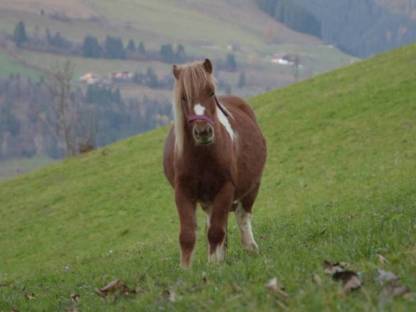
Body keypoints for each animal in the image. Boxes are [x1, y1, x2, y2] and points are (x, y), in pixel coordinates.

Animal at [162, 59, 266, 268]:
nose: (203, 132)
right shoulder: (183, 192)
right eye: (183, 97)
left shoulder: (225, 189)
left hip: (252, 187)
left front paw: (214, 266)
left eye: (210, 92)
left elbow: (216, 232)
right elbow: (187, 235)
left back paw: (250, 248)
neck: (202, 156)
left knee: (242, 216)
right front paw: (186, 269)